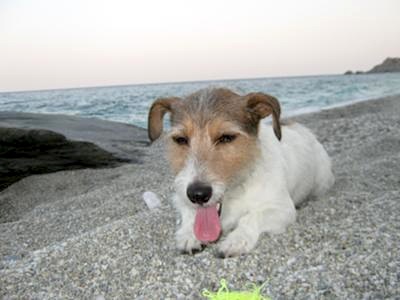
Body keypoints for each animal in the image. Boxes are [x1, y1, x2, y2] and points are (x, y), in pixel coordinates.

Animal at [147, 87, 334, 258]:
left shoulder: (282, 208)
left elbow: (251, 217)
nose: (198, 194)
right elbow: (188, 214)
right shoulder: (180, 196)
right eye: (180, 139)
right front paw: (189, 234)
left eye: (226, 137)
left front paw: (236, 239)